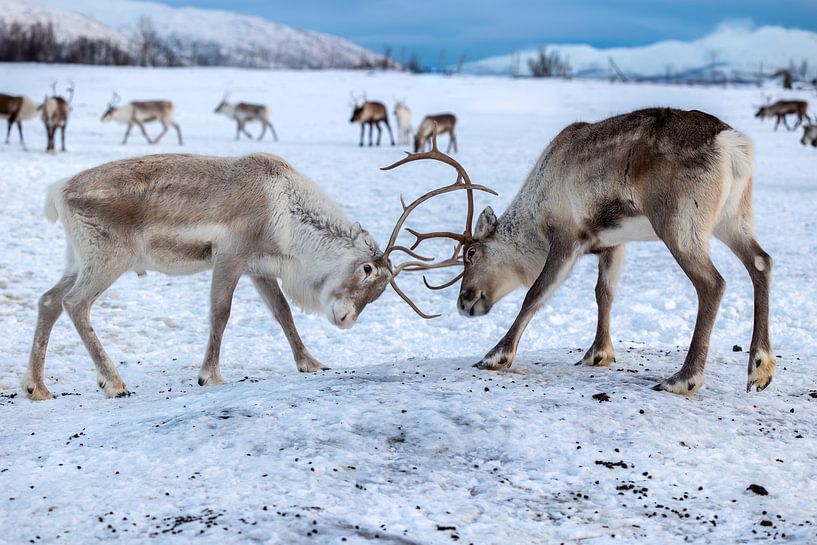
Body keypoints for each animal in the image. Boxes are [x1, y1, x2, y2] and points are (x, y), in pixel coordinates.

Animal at [23, 152, 396, 400]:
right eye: (366, 269)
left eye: (380, 290)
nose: (346, 320)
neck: (287, 215)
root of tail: (59, 191)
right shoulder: (229, 258)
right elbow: (221, 313)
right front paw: (210, 376)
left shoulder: (258, 269)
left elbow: (283, 313)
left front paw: (310, 363)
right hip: (107, 260)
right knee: (75, 303)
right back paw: (113, 383)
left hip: (77, 261)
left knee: (49, 300)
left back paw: (37, 387)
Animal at [382, 108, 776, 397]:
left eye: (472, 254)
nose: (463, 302)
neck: (535, 213)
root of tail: (732, 143)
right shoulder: (613, 243)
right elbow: (604, 293)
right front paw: (598, 353)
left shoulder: (567, 236)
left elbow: (535, 294)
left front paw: (496, 356)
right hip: (733, 216)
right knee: (761, 262)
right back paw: (760, 367)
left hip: (679, 222)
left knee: (713, 283)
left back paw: (683, 378)